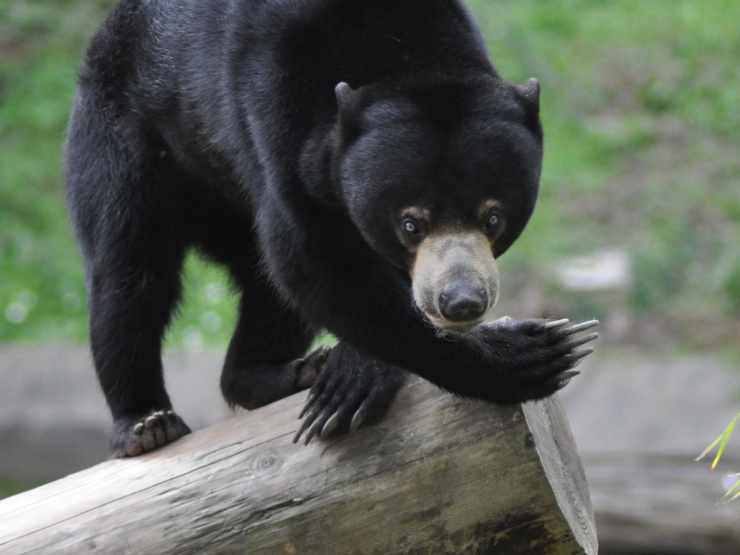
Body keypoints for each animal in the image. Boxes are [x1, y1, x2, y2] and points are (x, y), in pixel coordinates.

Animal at [64, 0, 599, 457]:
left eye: (493, 217)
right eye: (411, 223)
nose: (461, 301)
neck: (400, 49)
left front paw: (352, 377)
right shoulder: (272, 104)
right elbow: (311, 259)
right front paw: (530, 355)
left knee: (264, 290)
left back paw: (281, 372)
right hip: (123, 137)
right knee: (130, 276)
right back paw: (146, 423)